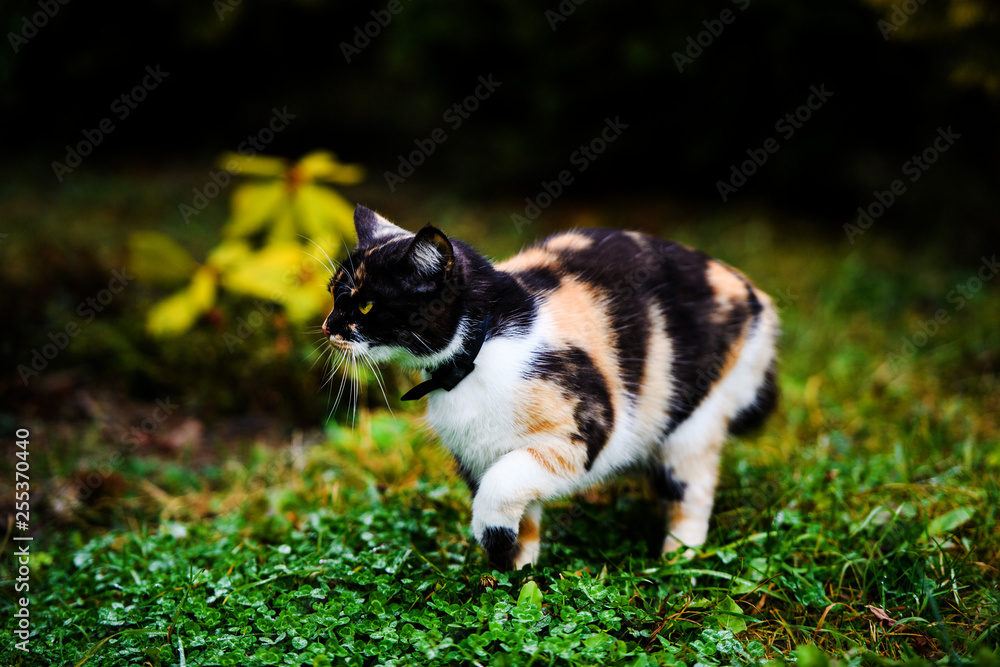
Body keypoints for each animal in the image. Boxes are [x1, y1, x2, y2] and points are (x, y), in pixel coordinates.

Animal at [324, 206, 776, 572]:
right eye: (332, 293)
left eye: (366, 305)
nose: (328, 327)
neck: (476, 357)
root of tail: (755, 295)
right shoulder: (479, 454)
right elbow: (520, 503)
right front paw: (516, 573)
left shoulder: (585, 431)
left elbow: (502, 485)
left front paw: (493, 537)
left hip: (696, 420)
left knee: (692, 492)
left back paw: (677, 561)